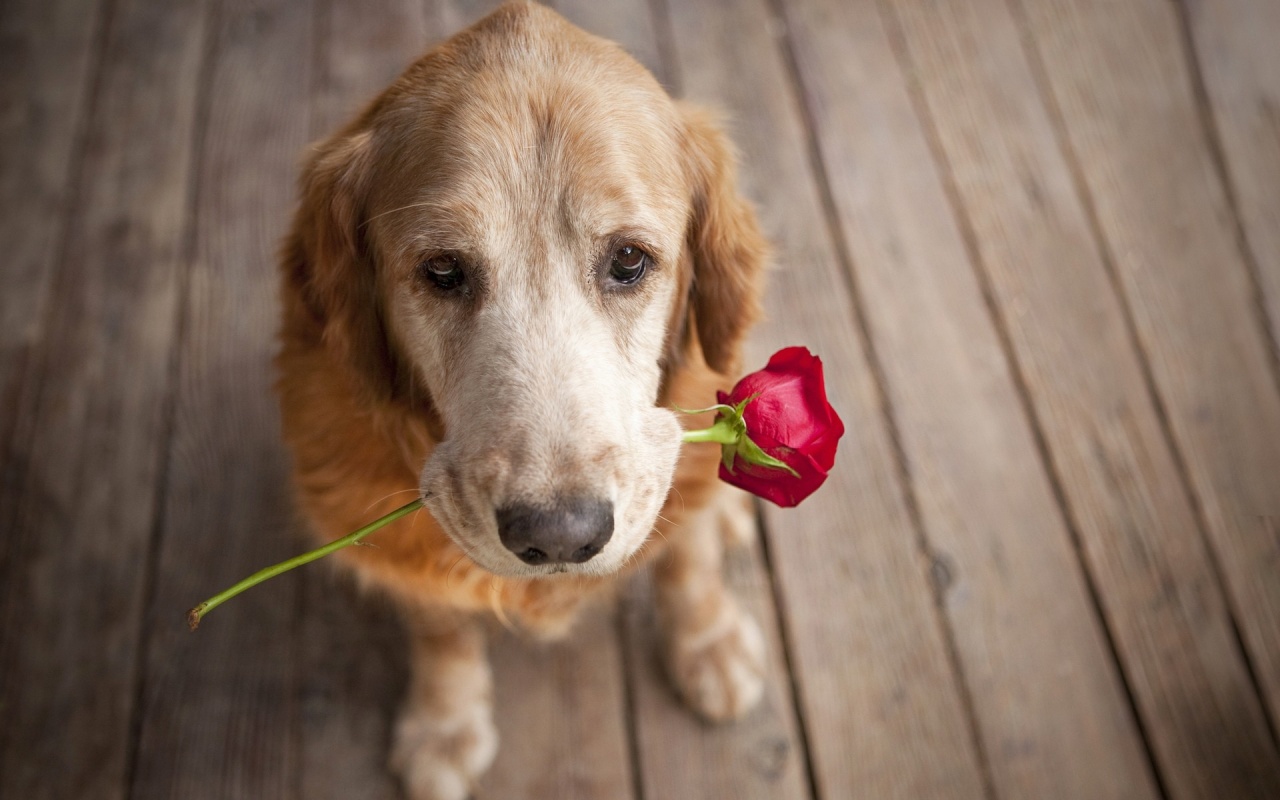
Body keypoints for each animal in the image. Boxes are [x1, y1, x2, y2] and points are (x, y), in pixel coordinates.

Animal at [273, 3, 762, 793]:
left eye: (630, 259)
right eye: (443, 270)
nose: (561, 536)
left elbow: (686, 560)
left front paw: (707, 641)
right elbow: (440, 626)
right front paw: (444, 723)